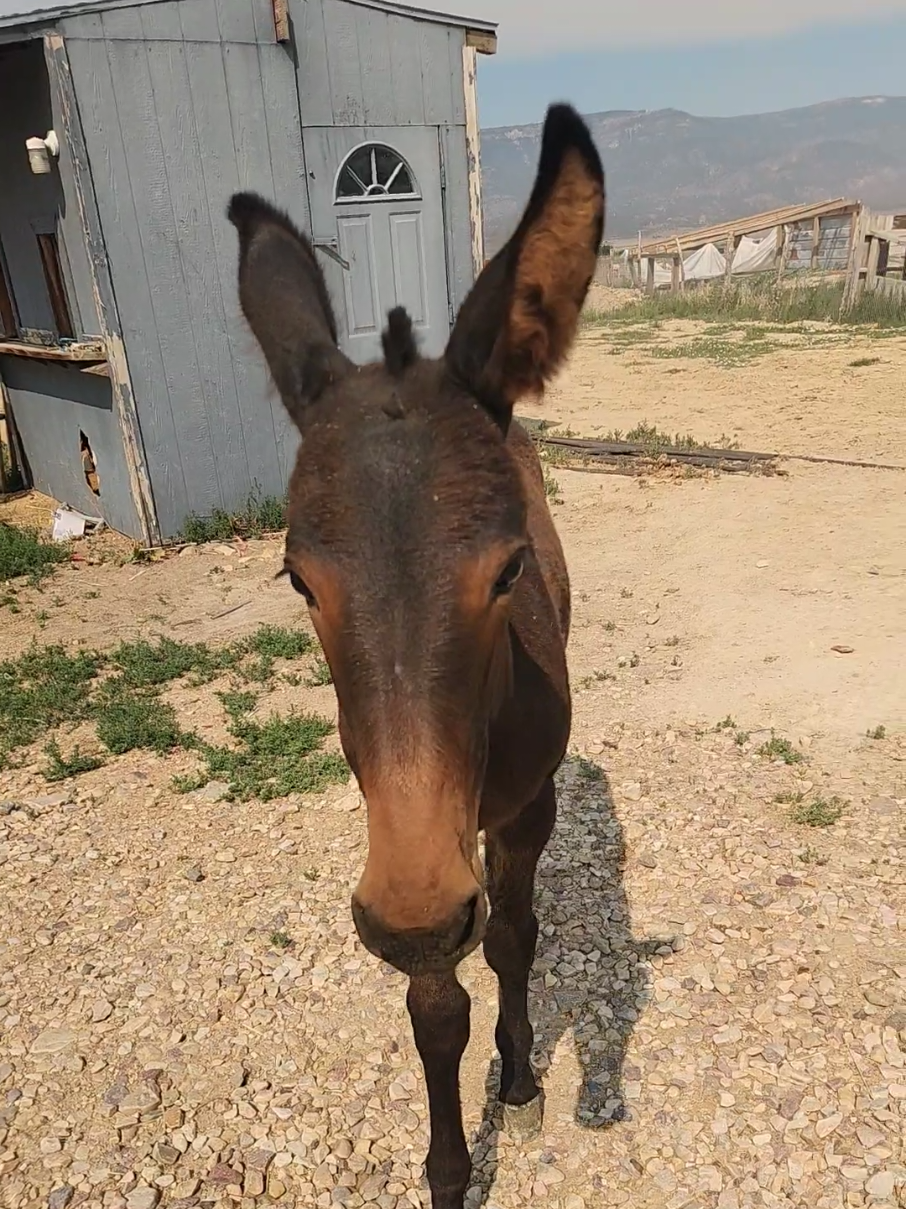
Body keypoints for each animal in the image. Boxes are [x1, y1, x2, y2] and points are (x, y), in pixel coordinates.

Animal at [228, 102, 605, 1209]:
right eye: (298, 580)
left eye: (510, 568)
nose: (412, 919)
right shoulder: (407, 842)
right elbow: (436, 1009)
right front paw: (446, 1172)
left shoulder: (521, 809)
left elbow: (515, 937)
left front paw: (521, 1082)